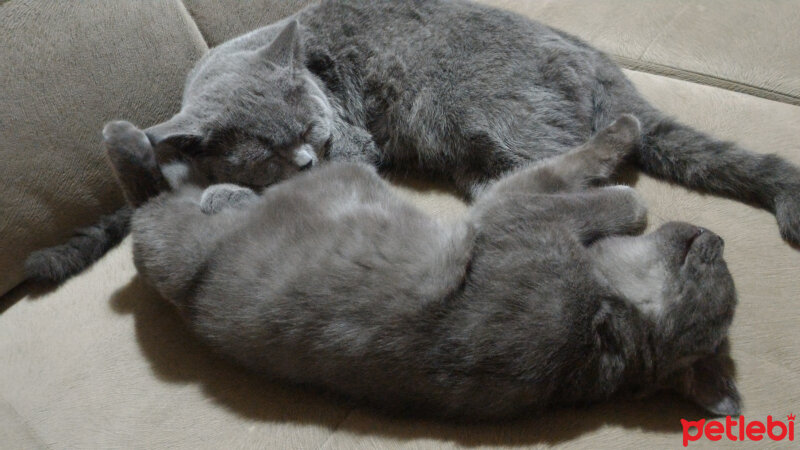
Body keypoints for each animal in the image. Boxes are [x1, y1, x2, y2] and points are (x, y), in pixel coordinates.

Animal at [26, 0, 800, 282]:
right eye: (271, 145)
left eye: (313, 128)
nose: (310, 153)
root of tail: (603, 63)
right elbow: (130, 198)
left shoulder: (353, 147)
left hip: (491, 115)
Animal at [103, 115, 740, 418]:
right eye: (715, 265)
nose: (718, 235)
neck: (609, 327)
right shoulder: (512, 206)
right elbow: (589, 178)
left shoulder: (506, 209)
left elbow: (594, 183)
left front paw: (627, 184)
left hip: (327, 181)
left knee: (157, 186)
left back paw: (158, 152)